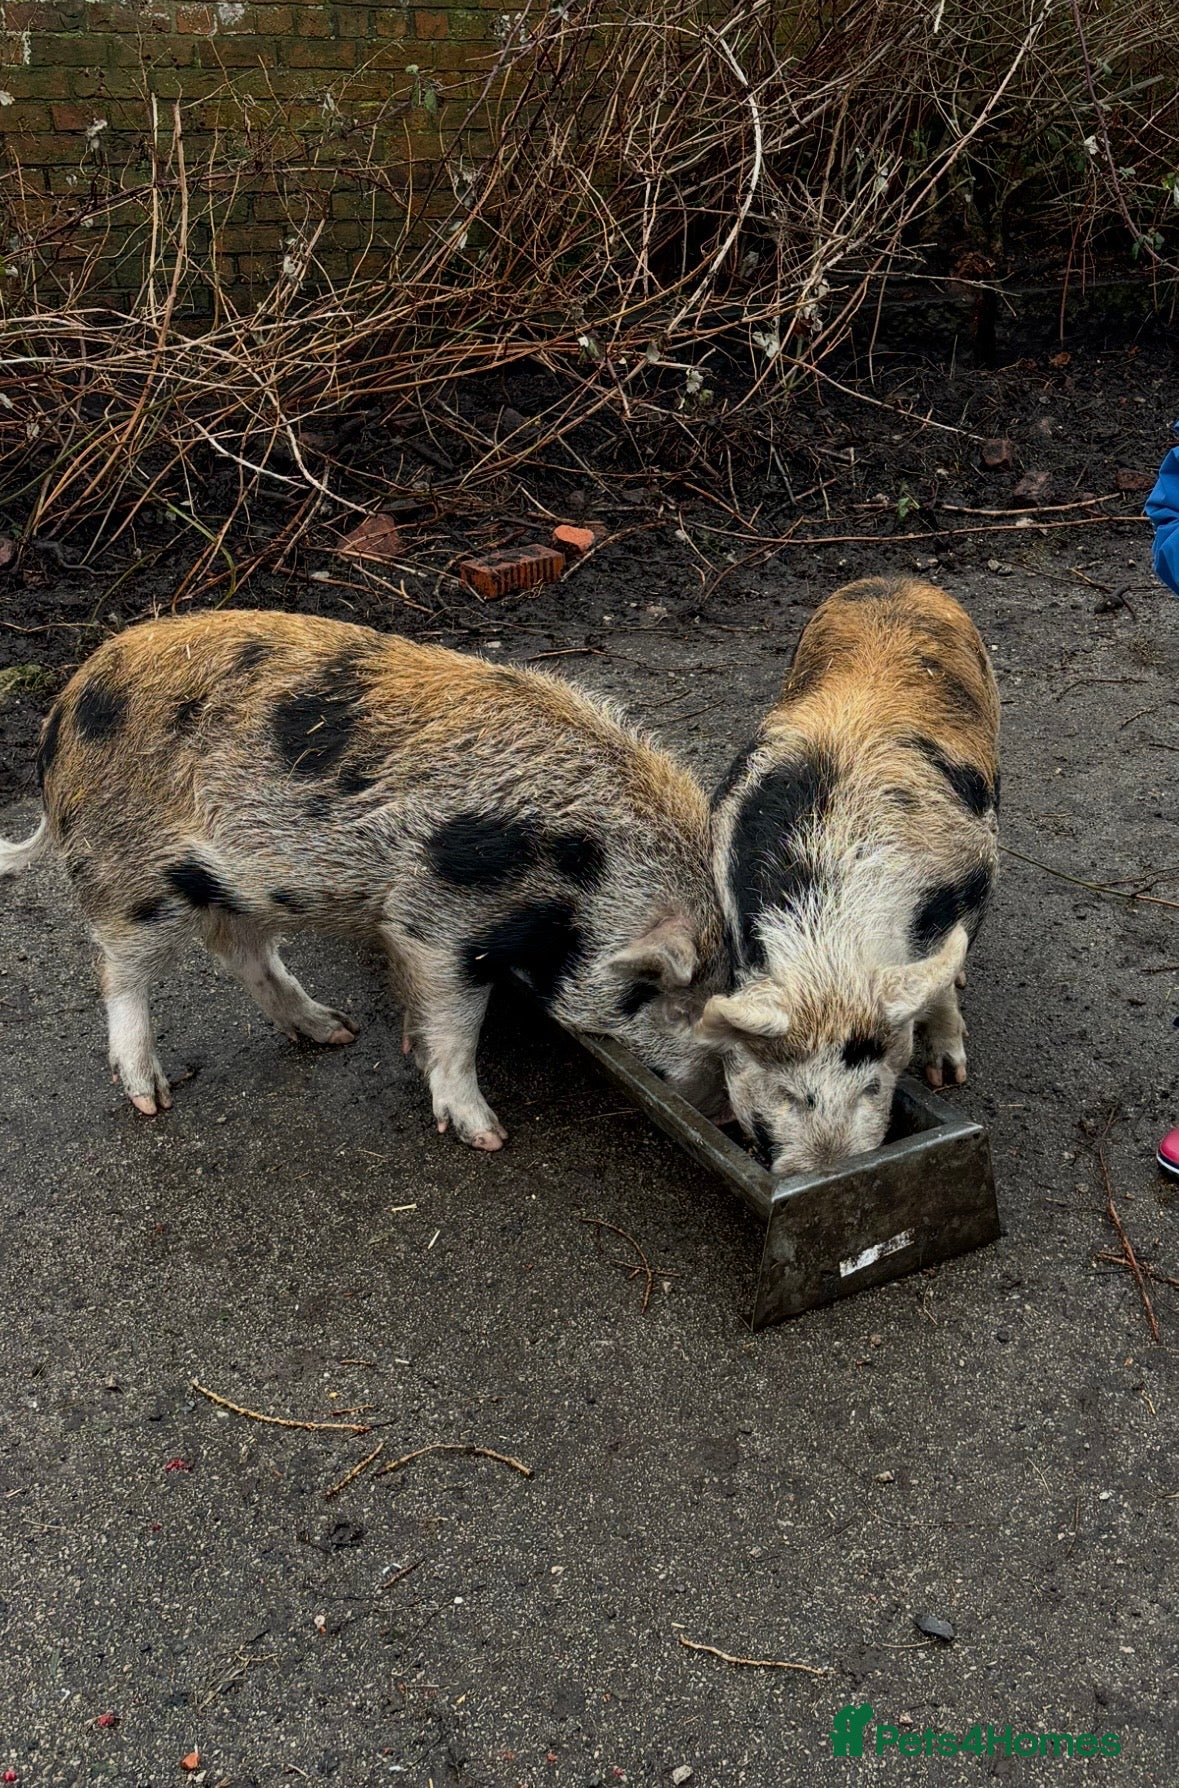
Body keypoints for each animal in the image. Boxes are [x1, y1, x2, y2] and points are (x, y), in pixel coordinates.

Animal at [0, 610, 728, 1146]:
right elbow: (459, 1025)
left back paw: (333, 1031)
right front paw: (487, 1136)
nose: (719, 1111)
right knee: (117, 970)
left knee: (241, 951)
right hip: (131, 875)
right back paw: (152, 1098)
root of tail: (60, 712)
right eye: (667, 996)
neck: (586, 871)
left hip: (240, 886)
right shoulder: (438, 919)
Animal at [703, 576, 1000, 1177]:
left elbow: (938, 990)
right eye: (787, 1092)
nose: (827, 1165)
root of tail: (895, 579)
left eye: (871, 1087)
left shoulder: (976, 870)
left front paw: (947, 1076)